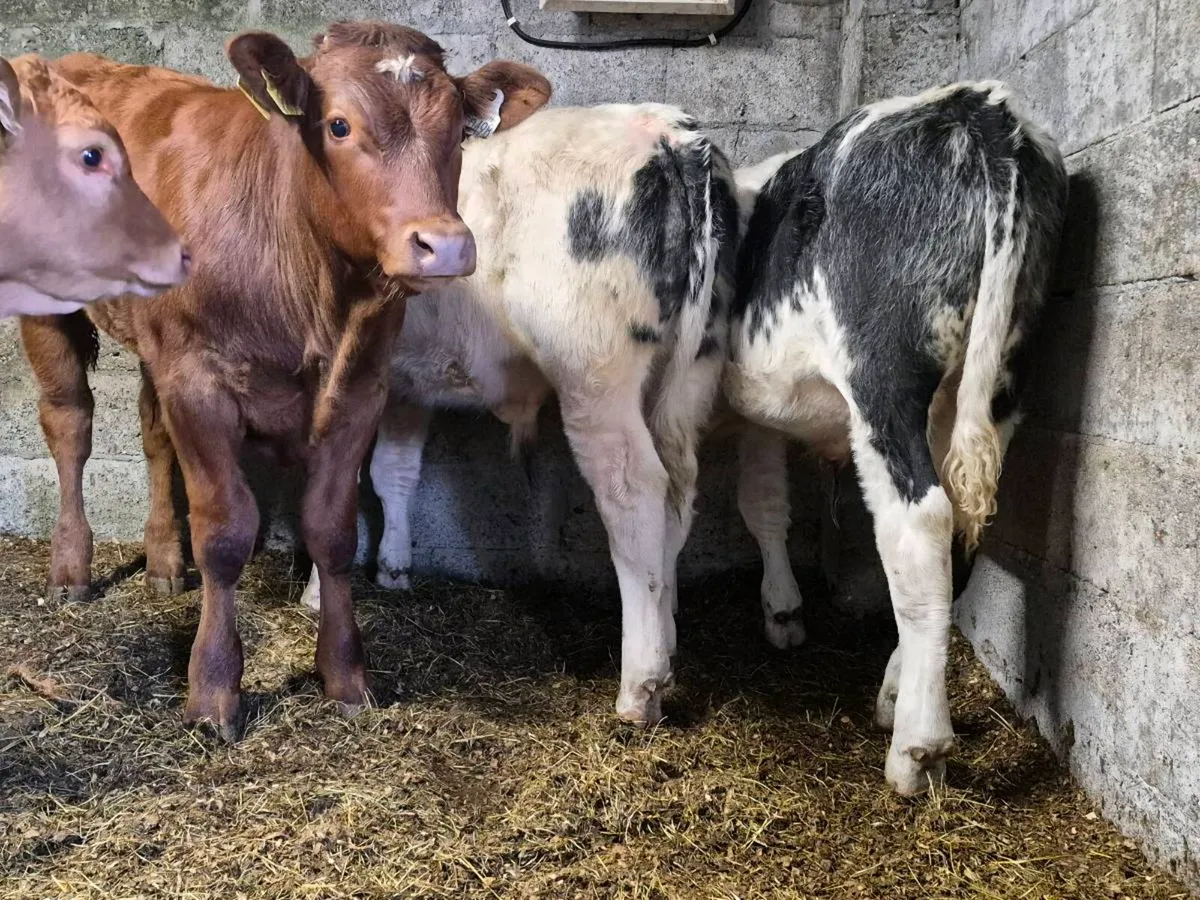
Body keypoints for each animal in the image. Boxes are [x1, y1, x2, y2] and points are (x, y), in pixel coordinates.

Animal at [20, 22, 550, 739]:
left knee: (153, 435)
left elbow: (333, 529)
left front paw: (346, 676)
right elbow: (225, 533)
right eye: (338, 125)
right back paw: (71, 569)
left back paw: (163, 564)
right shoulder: (200, 381)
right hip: (49, 306)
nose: (444, 245)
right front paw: (213, 692)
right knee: (69, 422)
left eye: (459, 130)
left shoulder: (360, 388)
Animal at [302, 103, 740, 725]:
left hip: (594, 372)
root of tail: (670, 133)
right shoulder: (405, 382)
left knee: (634, 492)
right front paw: (393, 568)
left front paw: (316, 595)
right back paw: (668, 638)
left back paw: (640, 688)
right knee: (678, 491)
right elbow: (394, 471)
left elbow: (329, 486)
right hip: (691, 372)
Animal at [725, 81, 1068, 795]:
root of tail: (976, 104)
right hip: (1001, 378)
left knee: (919, 524)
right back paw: (893, 693)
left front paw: (782, 612)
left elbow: (761, 506)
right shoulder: (762, 411)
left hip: (883, 377)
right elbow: (768, 504)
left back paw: (918, 748)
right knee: (958, 534)